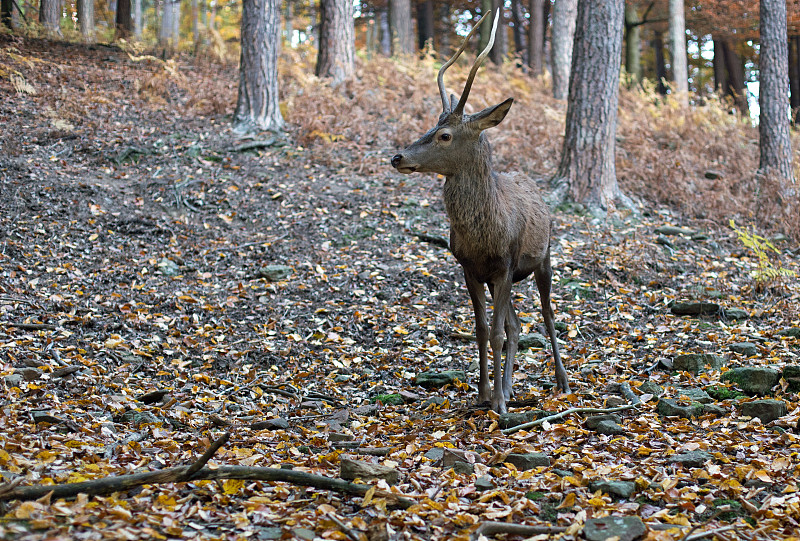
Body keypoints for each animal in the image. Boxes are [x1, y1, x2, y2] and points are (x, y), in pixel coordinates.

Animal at [390, 9, 568, 414]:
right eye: (431, 125)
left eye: (445, 135)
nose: (398, 157)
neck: (485, 233)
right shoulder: (470, 267)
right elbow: (484, 329)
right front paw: (484, 395)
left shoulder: (506, 262)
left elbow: (499, 331)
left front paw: (498, 402)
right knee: (516, 325)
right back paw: (512, 386)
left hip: (543, 258)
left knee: (548, 314)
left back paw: (561, 381)